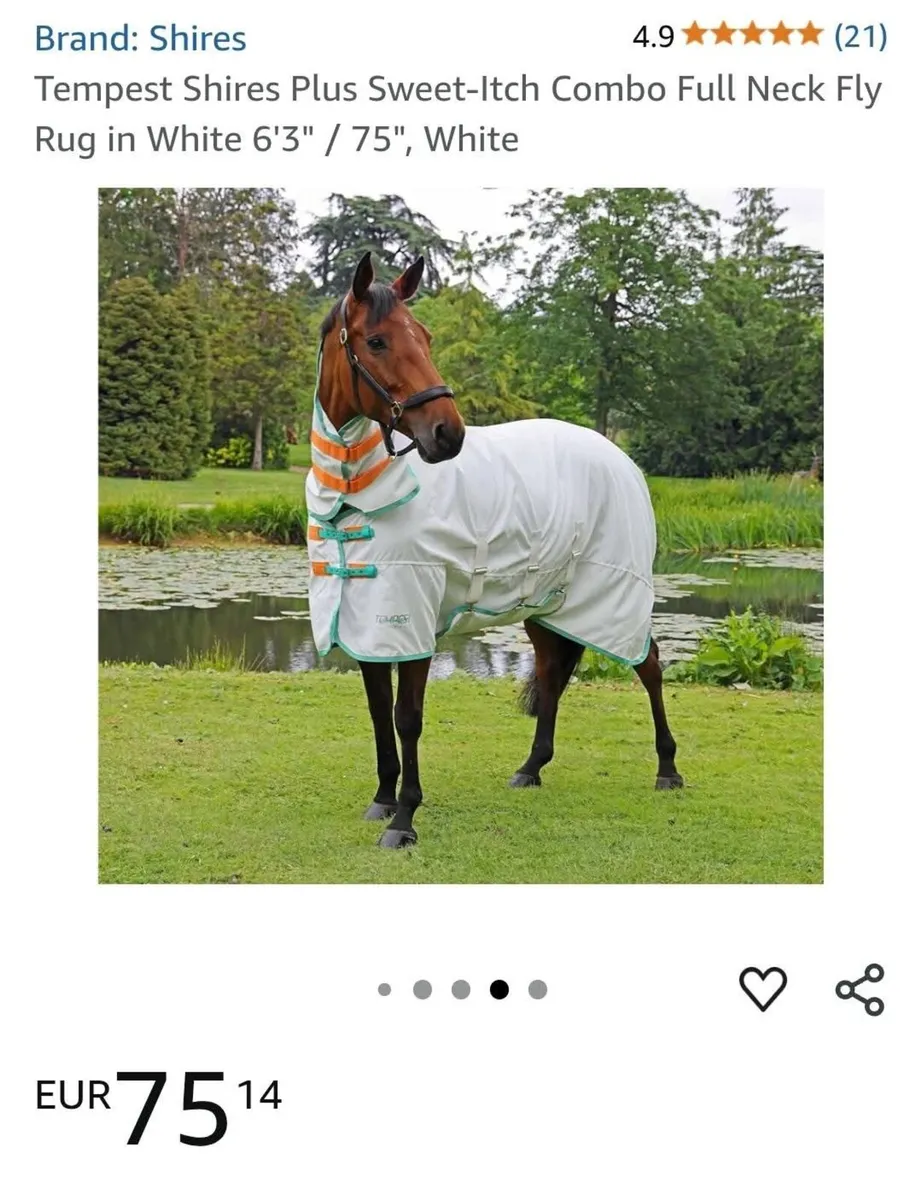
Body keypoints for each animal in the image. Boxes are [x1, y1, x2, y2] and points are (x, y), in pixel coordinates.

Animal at [306, 252, 683, 849]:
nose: (447, 435)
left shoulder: (412, 620)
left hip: (616, 596)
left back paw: (668, 768)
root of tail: (619, 458)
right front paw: (383, 799)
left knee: (648, 665)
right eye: (377, 341)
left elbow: (406, 717)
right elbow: (377, 712)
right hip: (548, 606)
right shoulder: (370, 623)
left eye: (426, 337)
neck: (362, 492)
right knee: (551, 673)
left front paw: (404, 819)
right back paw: (531, 767)